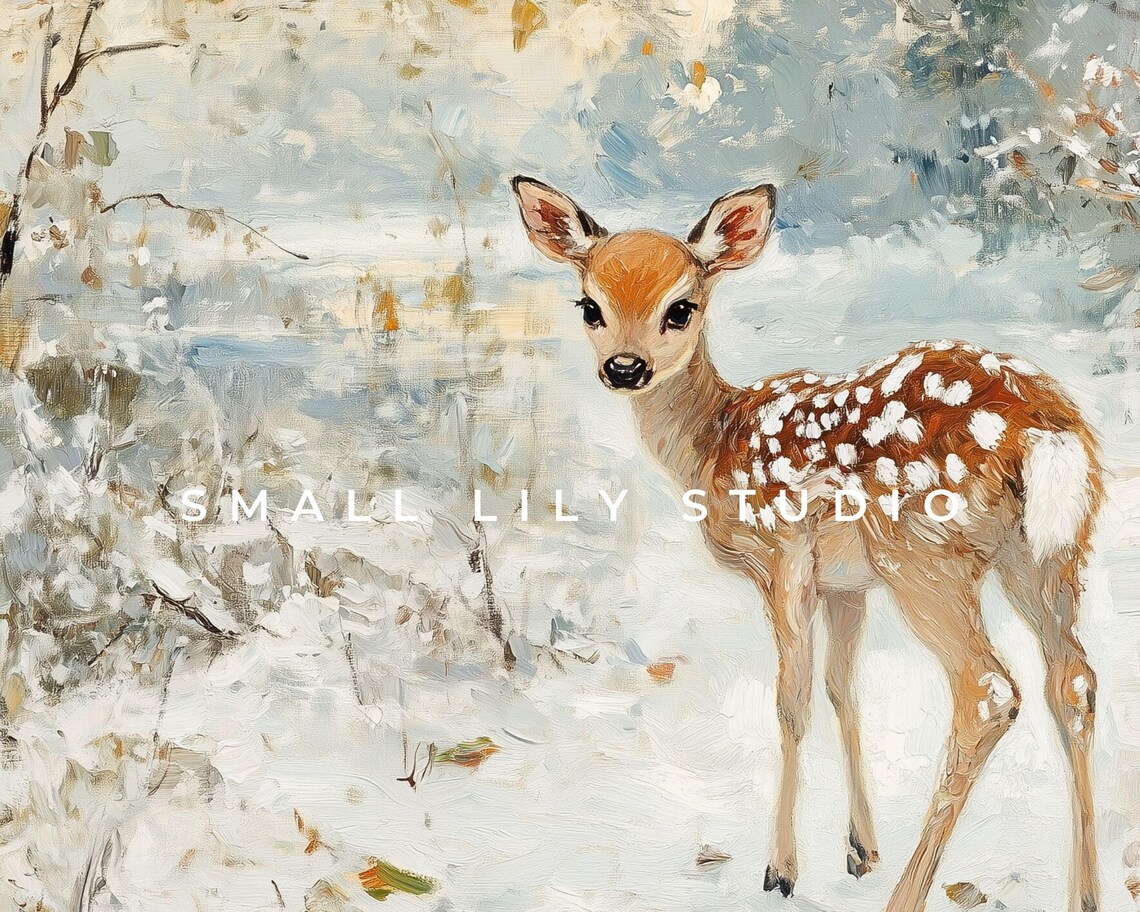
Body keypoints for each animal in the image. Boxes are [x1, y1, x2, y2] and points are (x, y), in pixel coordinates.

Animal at [511, 176, 1104, 912]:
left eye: (681, 308)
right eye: (589, 305)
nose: (626, 368)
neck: (714, 446)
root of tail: (1043, 429)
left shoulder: (784, 554)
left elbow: (790, 703)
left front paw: (782, 869)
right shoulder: (846, 583)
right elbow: (842, 689)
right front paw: (860, 849)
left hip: (925, 555)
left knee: (989, 691)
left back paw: (905, 898)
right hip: (1049, 552)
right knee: (1074, 681)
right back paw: (1085, 895)